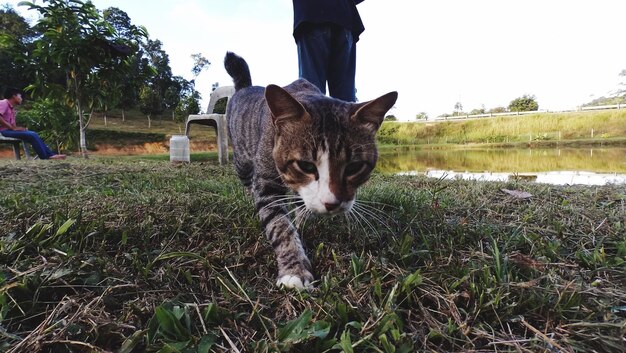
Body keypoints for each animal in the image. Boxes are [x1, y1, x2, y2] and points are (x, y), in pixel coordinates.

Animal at [223, 51, 394, 288]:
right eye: (306, 165)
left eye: (354, 166)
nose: (333, 203)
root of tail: (244, 87)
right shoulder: (266, 181)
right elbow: (279, 225)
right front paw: (294, 269)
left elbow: (301, 205)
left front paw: (304, 221)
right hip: (242, 160)